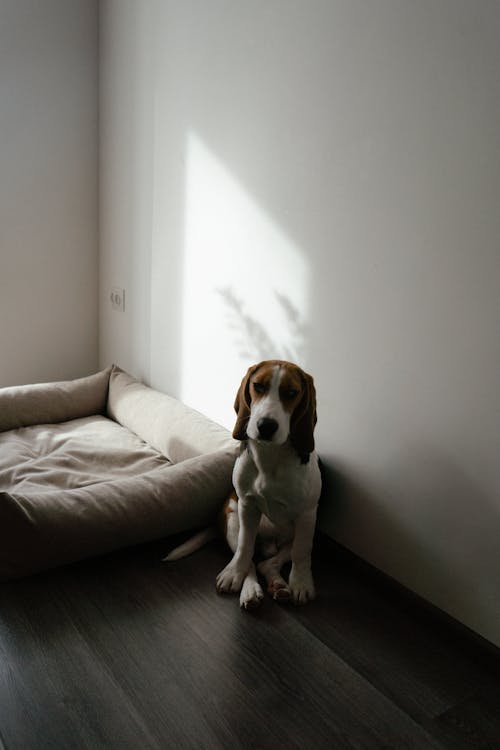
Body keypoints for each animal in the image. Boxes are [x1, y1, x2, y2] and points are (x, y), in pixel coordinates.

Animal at [164, 360, 320, 612]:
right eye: (258, 386)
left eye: (291, 393)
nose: (266, 426)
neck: (270, 457)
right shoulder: (247, 506)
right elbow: (245, 548)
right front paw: (235, 575)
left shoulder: (307, 514)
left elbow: (302, 552)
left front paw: (301, 583)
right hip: (232, 518)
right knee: (251, 561)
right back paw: (250, 589)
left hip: (296, 534)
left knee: (269, 562)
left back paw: (280, 586)